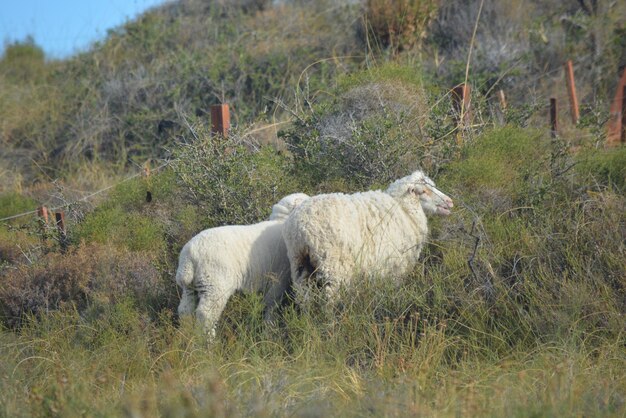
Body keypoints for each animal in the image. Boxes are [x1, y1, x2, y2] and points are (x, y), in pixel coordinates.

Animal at [174, 193, 308, 336]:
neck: (281, 222)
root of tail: (189, 255)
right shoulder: (278, 278)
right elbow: (271, 303)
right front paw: (269, 329)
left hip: (190, 286)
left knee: (185, 310)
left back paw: (185, 335)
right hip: (214, 284)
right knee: (206, 314)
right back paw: (208, 339)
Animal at [280, 171, 450, 302]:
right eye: (424, 191)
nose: (450, 202)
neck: (403, 209)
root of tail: (301, 229)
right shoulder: (396, 267)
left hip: (300, 265)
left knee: (304, 297)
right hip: (333, 266)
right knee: (330, 299)